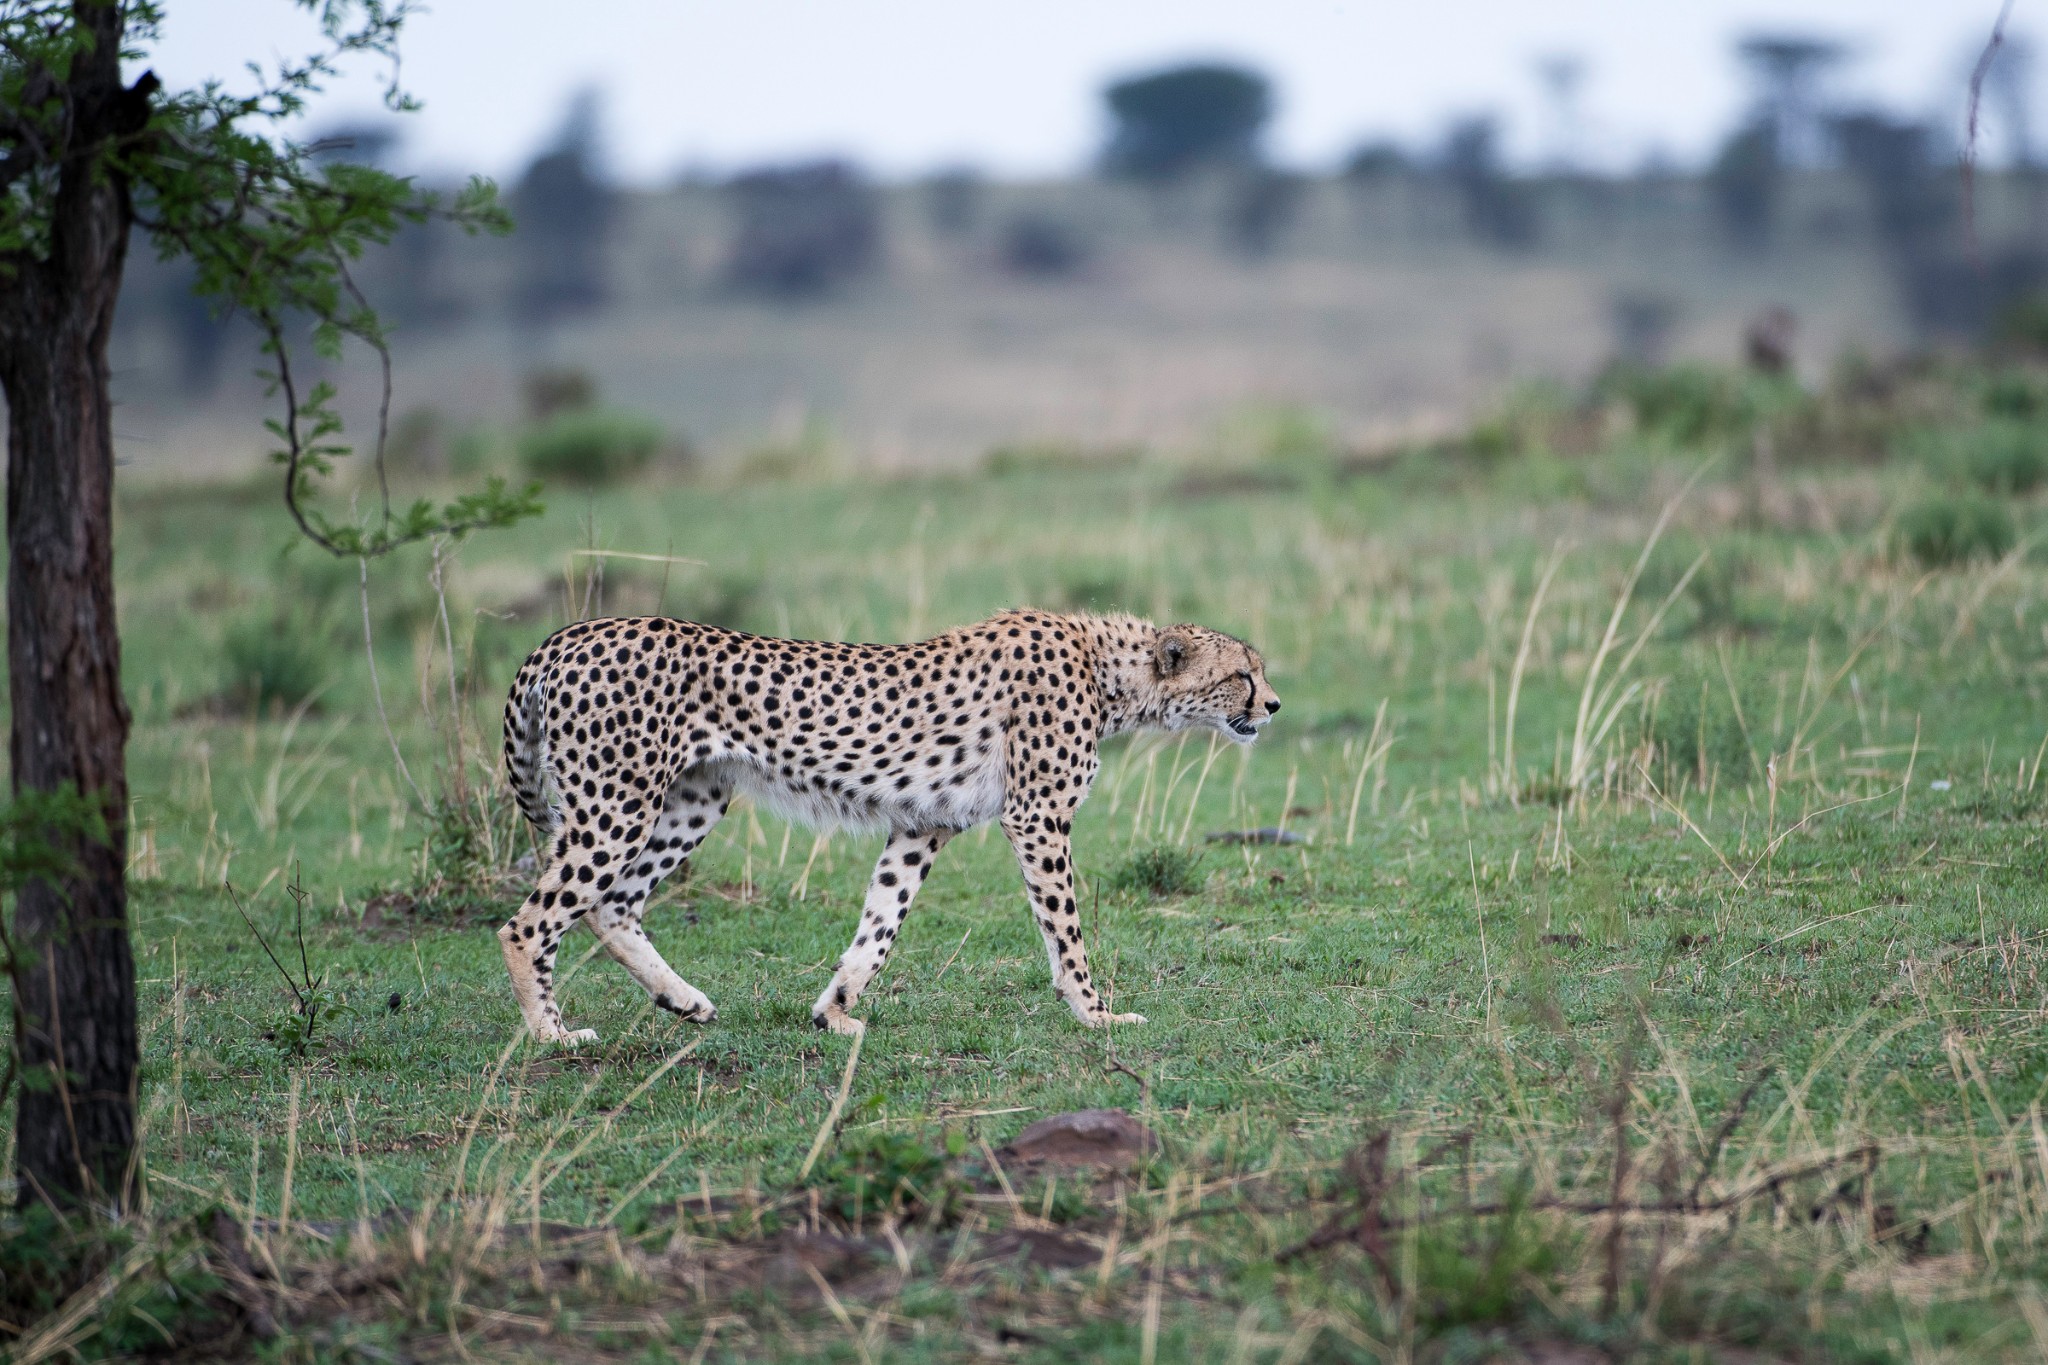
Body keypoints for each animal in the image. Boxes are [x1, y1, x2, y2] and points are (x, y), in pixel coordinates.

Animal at [495, 601, 1277, 1039]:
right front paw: (1096, 1014)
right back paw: (550, 1034)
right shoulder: (1038, 818)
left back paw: (682, 1001)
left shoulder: (923, 823)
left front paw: (834, 1012)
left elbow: (880, 925)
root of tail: (570, 634)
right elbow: (1067, 931)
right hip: (617, 804)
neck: (1109, 672)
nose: (1273, 705)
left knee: (612, 905)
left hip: (691, 799)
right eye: (1242, 674)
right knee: (530, 921)